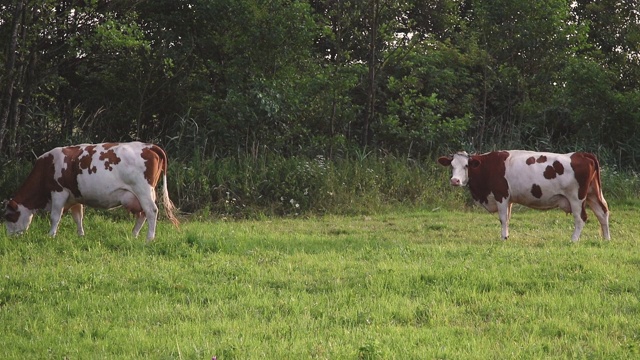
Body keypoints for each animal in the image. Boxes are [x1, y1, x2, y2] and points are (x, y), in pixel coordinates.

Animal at [5, 141, 180, 242]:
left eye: (8, 216)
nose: (9, 237)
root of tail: (149, 146)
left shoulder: (59, 192)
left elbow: (55, 217)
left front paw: (51, 235)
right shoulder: (75, 197)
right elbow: (78, 217)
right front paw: (81, 235)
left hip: (143, 190)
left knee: (151, 211)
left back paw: (149, 238)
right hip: (138, 195)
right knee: (142, 214)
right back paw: (134, 235)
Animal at [436, 150, 608, 240]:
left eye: (467, 166)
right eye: (452, 165)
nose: (455, 180)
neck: (488, 167)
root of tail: (581, 154)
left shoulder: (501, 195)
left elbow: (502, 218)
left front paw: (503, 238)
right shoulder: (509, 199)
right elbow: (508, 218)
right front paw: (507, 235)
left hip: (576, 198)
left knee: (581, 218)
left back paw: (573, 240)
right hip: (593, 194)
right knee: (603, 213)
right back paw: (606, 239)